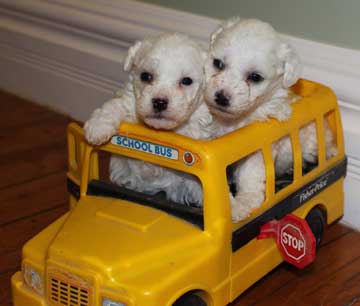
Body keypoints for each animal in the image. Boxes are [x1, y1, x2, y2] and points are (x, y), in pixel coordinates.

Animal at [85, 33, 214, 206]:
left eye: (186, 81)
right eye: (146, 76)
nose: (159, 102)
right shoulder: (130, 102)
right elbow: (114, 105)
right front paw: (98, 127)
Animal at [205, 18, 338, 220]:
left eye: (255, 77)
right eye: (218, 64)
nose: (221, 97)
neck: (233, 120)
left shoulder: (260, 144)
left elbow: (250, 173)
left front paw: (243, 203)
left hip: (312, 141)